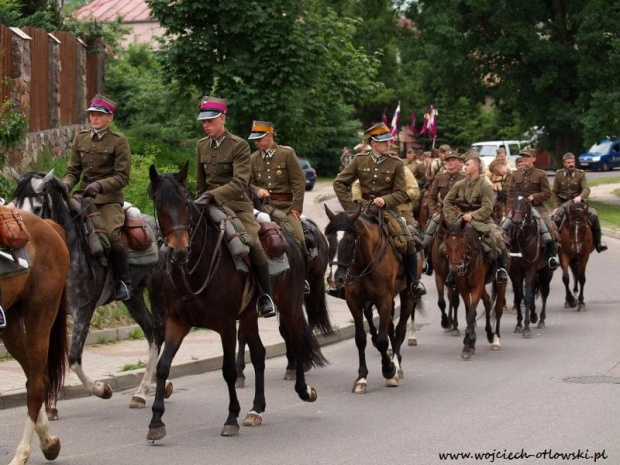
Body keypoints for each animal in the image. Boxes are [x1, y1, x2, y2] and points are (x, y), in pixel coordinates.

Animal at [0, 210, 69, 464]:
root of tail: (46, 224)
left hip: (39, 316)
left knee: (37, 385)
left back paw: (22, 453)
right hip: (10, 325)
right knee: (36, 378)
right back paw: (49, 443)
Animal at [12, 170, 171, 410]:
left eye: (38, 208)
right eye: (14, 206)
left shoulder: (83, 310)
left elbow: (73, 359)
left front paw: (101, 389)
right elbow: (50, 358)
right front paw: (50, 407)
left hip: (156, 290)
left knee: (159, 332)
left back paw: (143, 392)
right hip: (133, 297)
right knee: (152, 331)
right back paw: (147, 389)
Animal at [145, 164, 324, 442]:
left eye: (184, 203)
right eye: (160, 205)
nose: (180, 250)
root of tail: (293, 241)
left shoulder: (226, 325)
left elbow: (228, 370)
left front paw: (231, 417)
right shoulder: (176, 323)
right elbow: (163, 366)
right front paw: (155, 421)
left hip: (290, 306)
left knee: (295, 340)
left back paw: (304, 391)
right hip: (250, 315)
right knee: (259, 354)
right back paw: (256, 408)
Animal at [322, 205, 418, 390]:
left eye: (350, 240)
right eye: (329, 239)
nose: (335, 279)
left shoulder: (384, 299)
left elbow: (381, 340)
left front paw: (389, 370)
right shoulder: (354, 302)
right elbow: (361, 338)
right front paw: (361, 377)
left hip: (407, 295)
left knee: (400, 329)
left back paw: (397, 365)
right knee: (390, 328)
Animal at [440, 218, 504, 358]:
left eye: (462, 242)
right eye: (446, 243)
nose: (454, 270)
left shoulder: (476, 287)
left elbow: (470, 315)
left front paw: (467, 346)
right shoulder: (464, 289)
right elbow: (470, 313)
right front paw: (470, 343)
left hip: (500, 284)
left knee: (498, 309)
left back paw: (496, 339)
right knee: (487, 302)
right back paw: (489, 333)